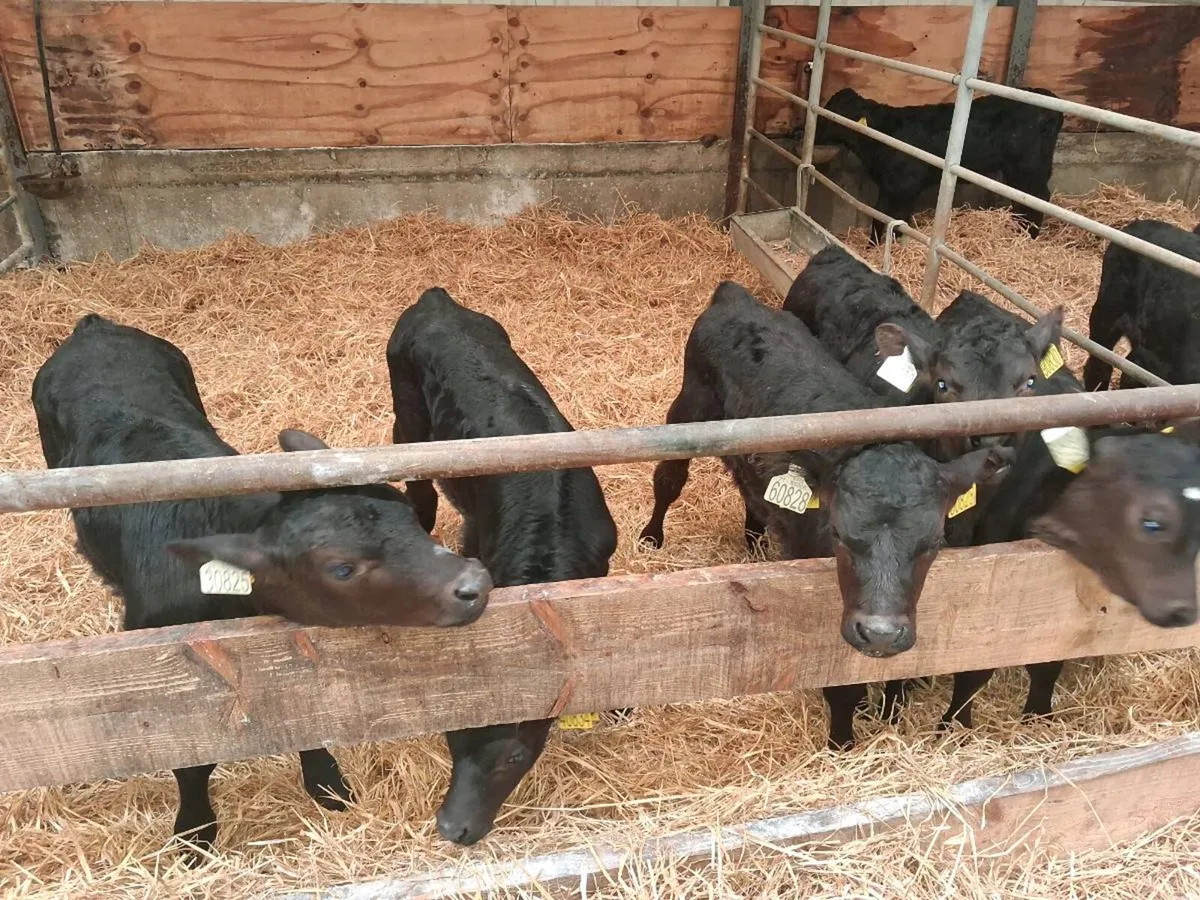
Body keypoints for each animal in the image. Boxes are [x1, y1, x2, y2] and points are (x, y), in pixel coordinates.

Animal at [31, 314, 493, 860]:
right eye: (341, 568)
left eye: (410, 518)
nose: (473, 582)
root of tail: (93, 325)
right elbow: (192, 763)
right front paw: (194, 831)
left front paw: (326, 783)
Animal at [637, 281, 1009, 750]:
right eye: (838, 535)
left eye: (934, 543)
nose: (880, 633)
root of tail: (736, 298)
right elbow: (840, 685)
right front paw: (843, 741)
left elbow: (902, 675)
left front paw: (890, 712)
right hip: (687, 412)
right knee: (668, 478)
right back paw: (651, 537)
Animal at [805, 88, 1064, 245]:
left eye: (834, 113)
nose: (804, 129)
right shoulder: (892, 188)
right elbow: (886, 217)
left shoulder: (903, 187)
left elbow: (888, 218)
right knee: (1024, 201)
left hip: (1029, 168)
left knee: (1038, 198)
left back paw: (1029, 236)